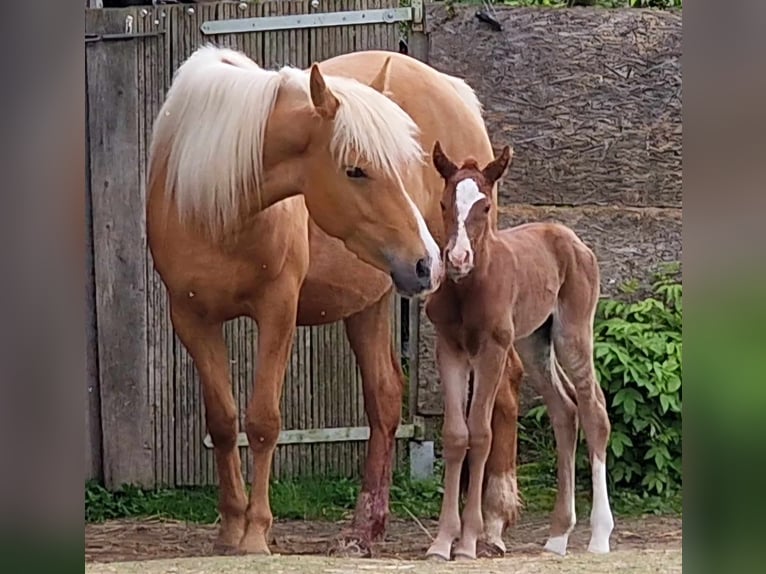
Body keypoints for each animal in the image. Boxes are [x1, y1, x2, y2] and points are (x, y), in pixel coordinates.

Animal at [147, 46, 512, 560]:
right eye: (355, 169)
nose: (427, 263)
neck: (215, 199)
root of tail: (454, 90)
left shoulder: (277, 310)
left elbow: (263, 421)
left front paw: (256, 533)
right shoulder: (191, 318)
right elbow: (222, 422)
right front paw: (229, 529)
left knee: (505, 392)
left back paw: (492, 522)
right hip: (368, 304)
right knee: (385, 400)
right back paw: (364, 531)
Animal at [426, 144, 616, 564]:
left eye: (485, 207)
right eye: (444, 203)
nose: (457, 258)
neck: (470, 288)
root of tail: (572, 238)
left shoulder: (493, 349)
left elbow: (480, 433)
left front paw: (468, 542)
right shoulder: (449, 348)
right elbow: (455, 434)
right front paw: (442, 542)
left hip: (571, 333)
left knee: (593, 410)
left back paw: (599, 536)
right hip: (533, 342)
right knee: (564, 411)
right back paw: (557, 536)